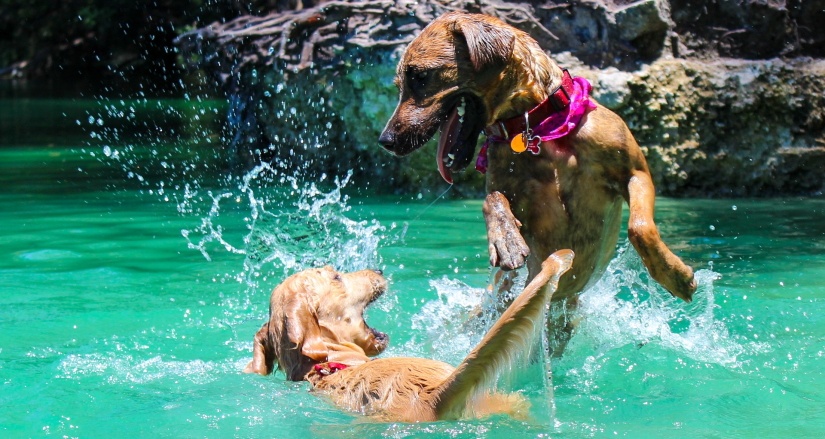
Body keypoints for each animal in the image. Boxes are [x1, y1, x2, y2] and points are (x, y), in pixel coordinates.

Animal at [380, 11, 696, 330]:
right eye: (401, 83)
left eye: (420, 76)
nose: (386, 141)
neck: (539, 127)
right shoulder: (517, 200)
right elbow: (491, 199)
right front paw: (505, 240)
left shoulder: (635, 172)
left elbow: (640, 227)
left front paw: (675, 275)